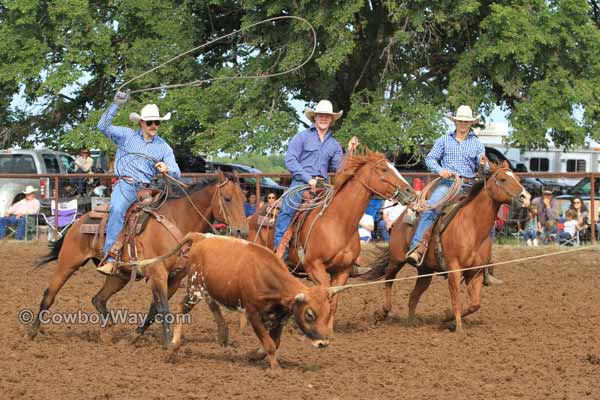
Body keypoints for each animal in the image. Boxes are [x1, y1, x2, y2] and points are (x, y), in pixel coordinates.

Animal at [28, 172, 246, 346]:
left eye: (244, 199)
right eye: (227, 198)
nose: (241, 231)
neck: (177, 221)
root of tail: (78, 221)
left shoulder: (175, 278)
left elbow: (154, 309)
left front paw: (134, 336)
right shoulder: (158, 273)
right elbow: (163, 308)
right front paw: (167, 343)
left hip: (120, 275)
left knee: (98, 299)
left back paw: (110, 329)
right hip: (68, 264)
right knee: (49, 295)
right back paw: (32, 332)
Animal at [270, 148, 414, 332]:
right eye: (384, 169)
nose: (410, 192)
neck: (338, 223)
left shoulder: (342, 271)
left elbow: (333, 303)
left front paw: (328, 329)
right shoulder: (314, 267)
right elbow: (325, 296)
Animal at [364, 161, 528, 332]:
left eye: (518, 179)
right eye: (503, 179)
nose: (525, 197)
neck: (472, 227)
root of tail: (401, 217)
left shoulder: (475, 273)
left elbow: (475, 304)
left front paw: (446, 317)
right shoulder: (454, 270)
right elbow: (456, 301)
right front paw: (459, 331)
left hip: (426, 271)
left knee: (414, 295)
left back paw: (411, 322)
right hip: (397, 260)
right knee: (388, 280)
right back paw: (382, 312)